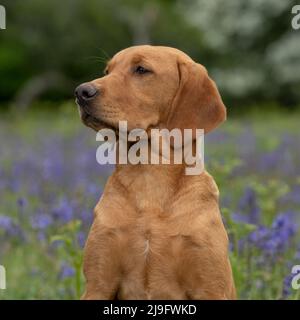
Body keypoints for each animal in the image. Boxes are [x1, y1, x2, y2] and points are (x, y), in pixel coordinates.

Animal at [75, 45, 237, 300]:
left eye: (141, 69)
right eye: (108, 71)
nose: (81, 92)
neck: (149, 176)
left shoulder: (209, 287)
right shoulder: (98, 284)